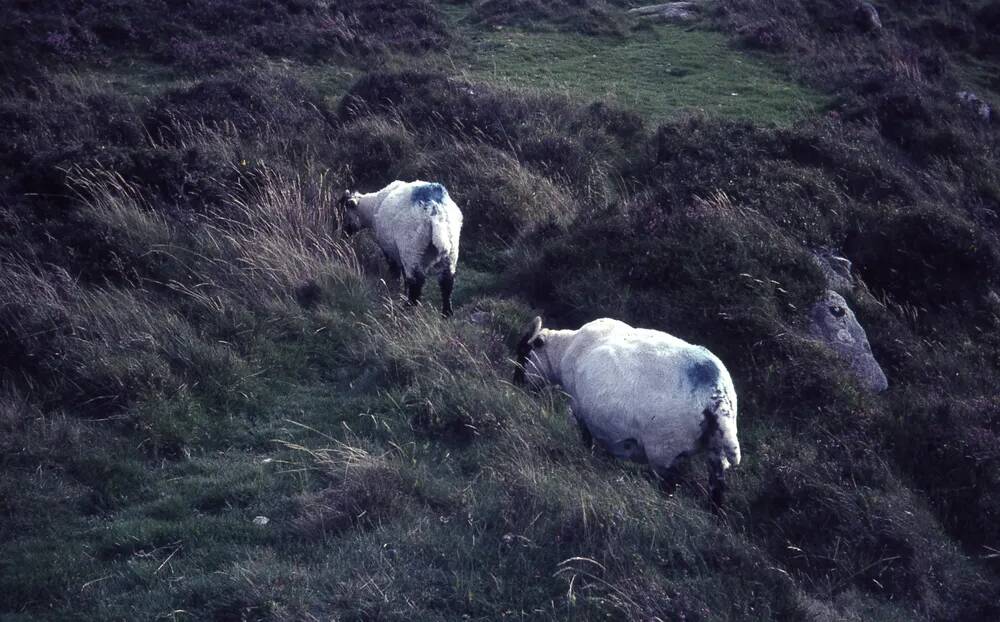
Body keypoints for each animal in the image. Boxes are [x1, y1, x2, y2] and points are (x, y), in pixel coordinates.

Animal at [336, 180, 460, 316]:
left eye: (343, 212)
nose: (341, 235)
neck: (371, 207)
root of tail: (435, 210)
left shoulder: (389, 249)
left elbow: (395, 270)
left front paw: (394, 288)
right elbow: (404, 275)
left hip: (411, 248)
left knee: (416, 281)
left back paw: (408, 308)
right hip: (451, 249)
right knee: (447, 281)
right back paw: (446, 313)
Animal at [516, 320, 744, 510]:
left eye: (524, 353)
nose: (515, 386)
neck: (564, 349)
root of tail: (717, 395)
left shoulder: (579, 408)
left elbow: (586, 439)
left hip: (664, 448)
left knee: (669, 487)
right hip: (715, 450)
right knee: (717, 487)